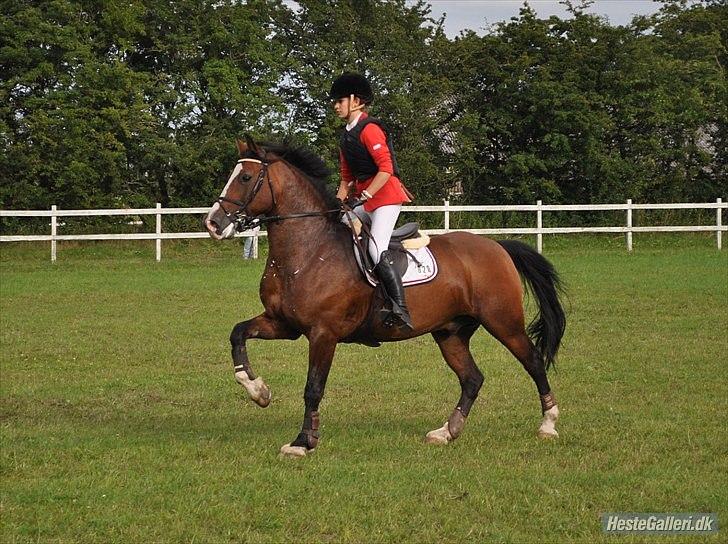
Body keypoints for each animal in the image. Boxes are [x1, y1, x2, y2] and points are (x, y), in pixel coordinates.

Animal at [205, 135, 568, 454]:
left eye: (246, 177)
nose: (213, 223)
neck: (308, 250)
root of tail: (496, 245)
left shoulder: (323, 333)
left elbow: (313, 388)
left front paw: (303, 442)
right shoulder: (284, 324)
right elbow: (237, 334)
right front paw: (258, 391)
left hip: (503, 322)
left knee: (533, 362)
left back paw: (548, 424)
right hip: (450, 332)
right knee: (472, 379)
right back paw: (446, 432)